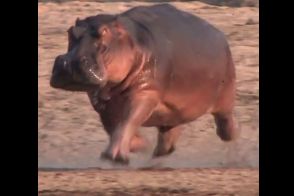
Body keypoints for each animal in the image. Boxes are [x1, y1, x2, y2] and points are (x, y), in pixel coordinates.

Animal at [50, 4, 239, 164]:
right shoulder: (101, 101)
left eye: (104, 32)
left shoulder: (146, 92)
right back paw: (156, 159)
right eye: (70, 31)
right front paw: (142, 145)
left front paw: (115, 156)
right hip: (174, 113)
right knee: (167, 140)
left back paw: (236, 147)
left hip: (225, 97)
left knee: (226, 126)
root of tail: (220, 34)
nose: (70, 63)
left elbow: (128, 120)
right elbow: (114, 126)